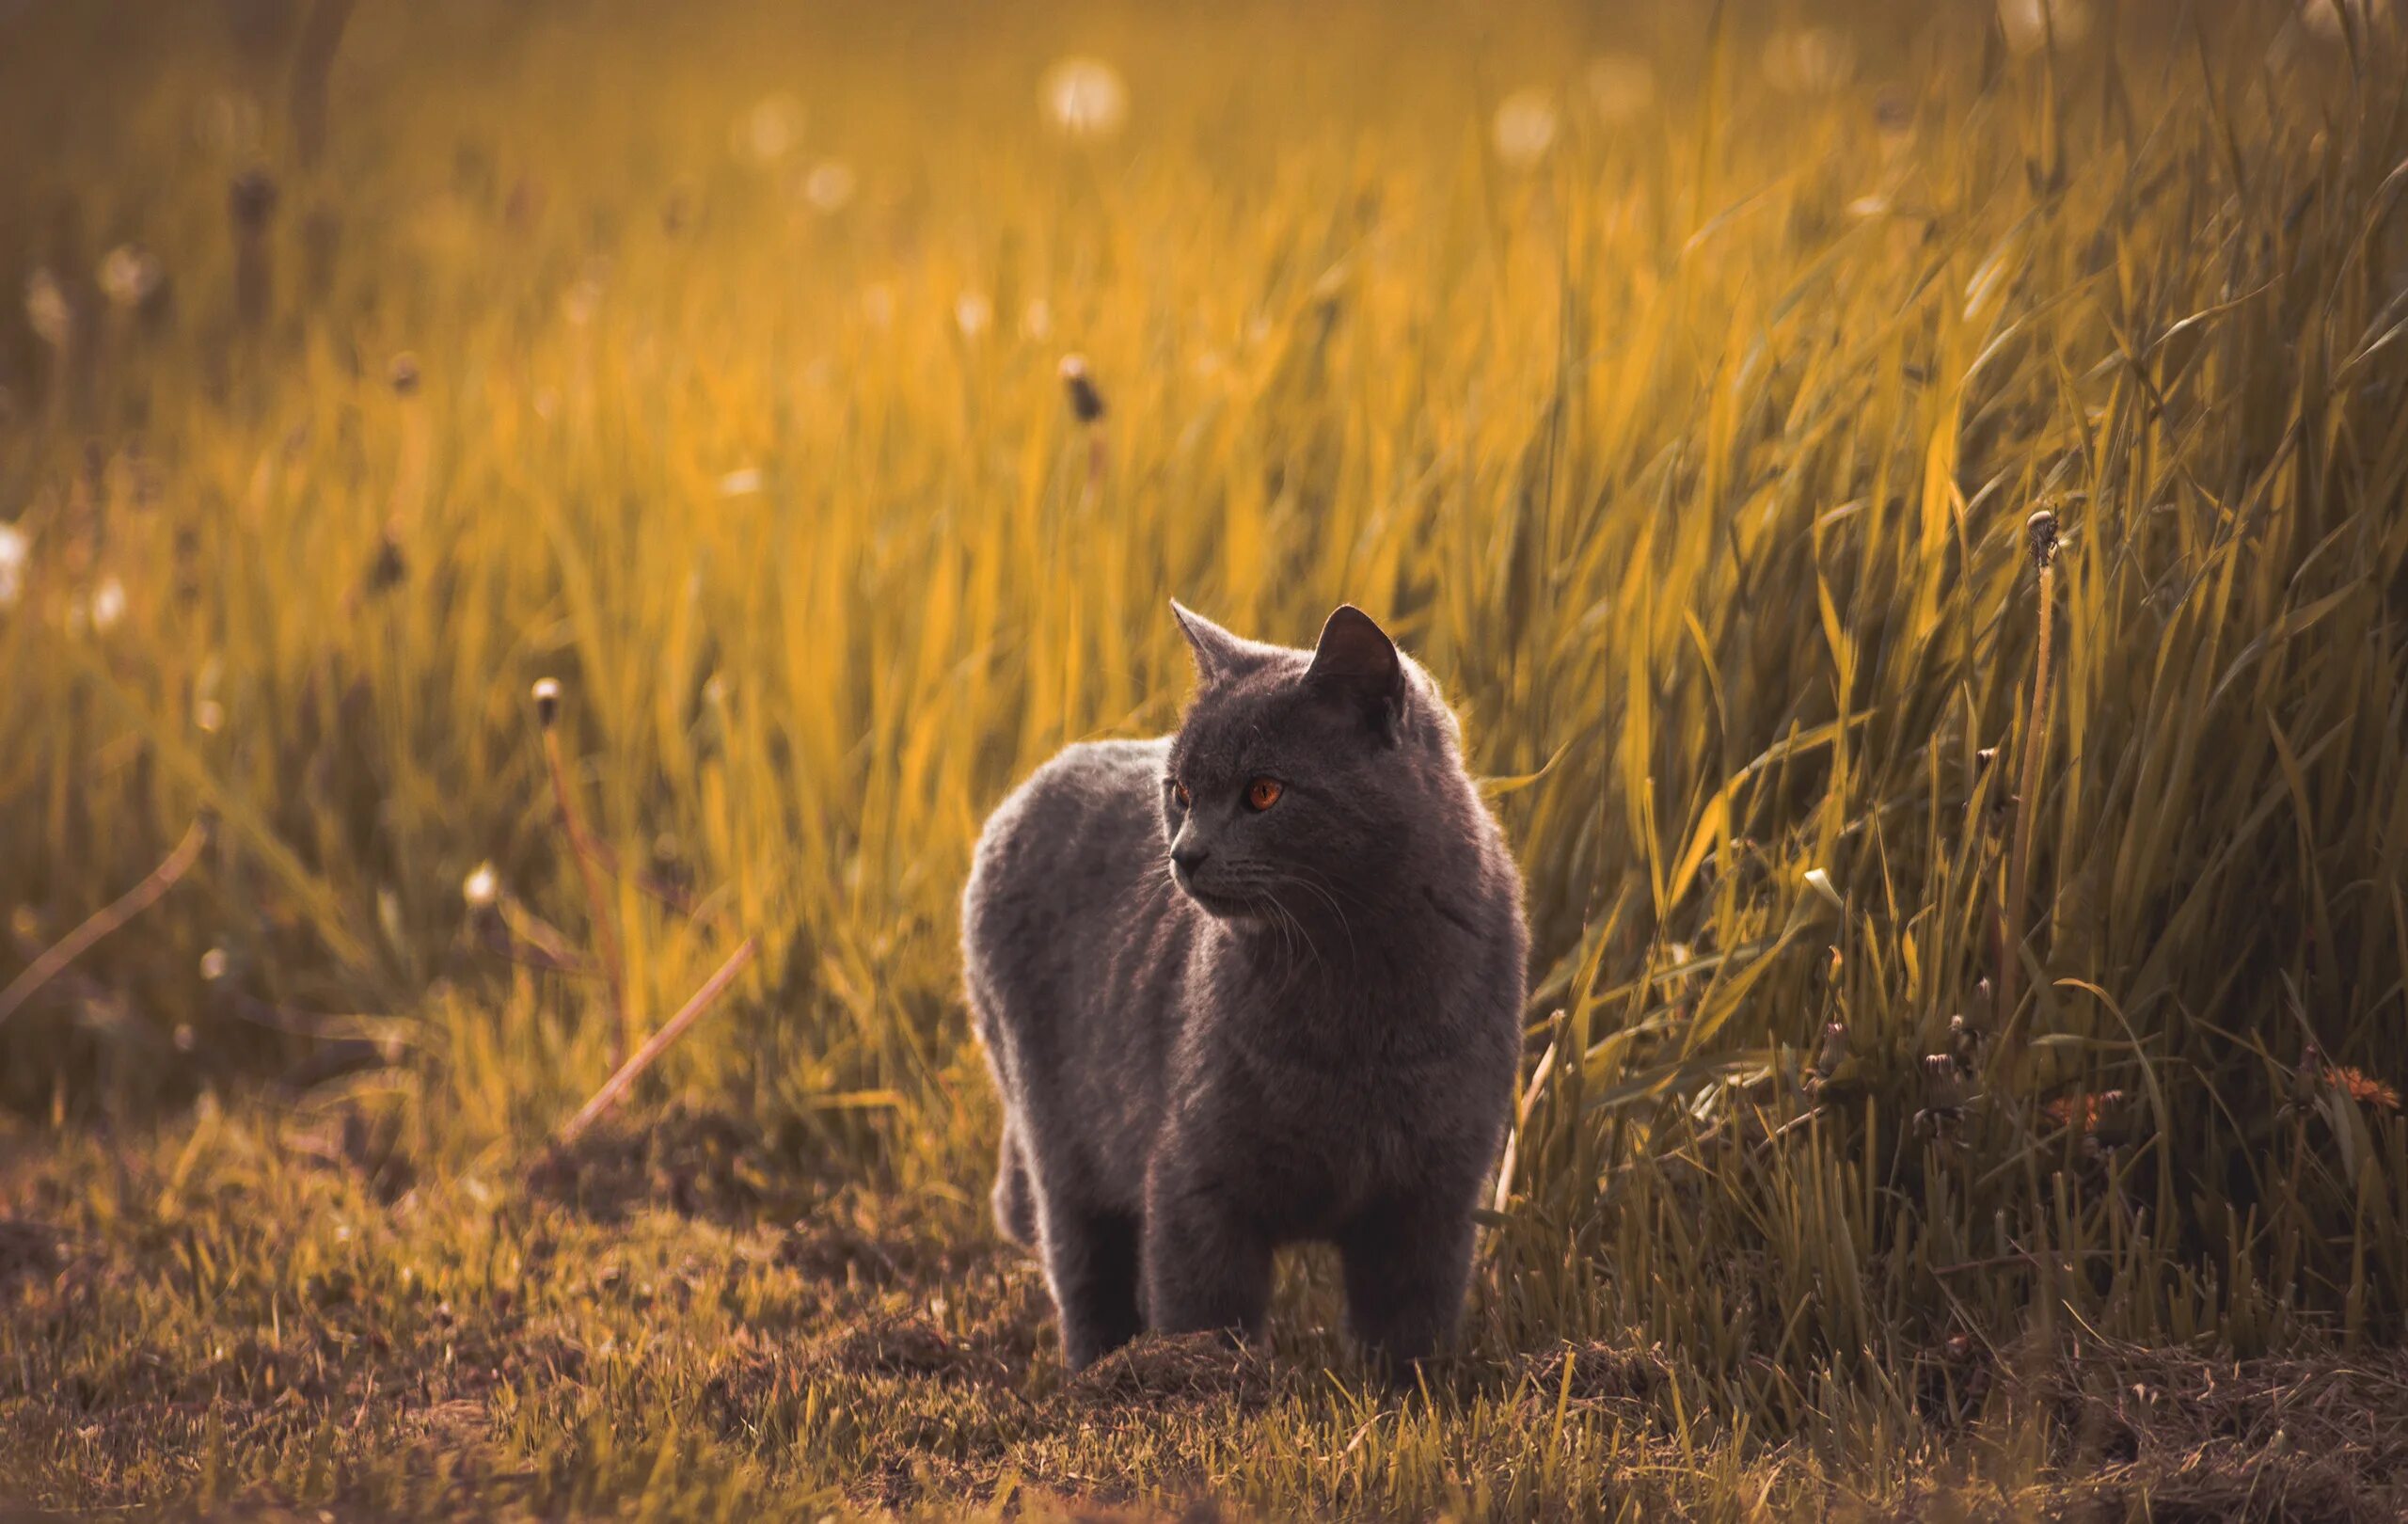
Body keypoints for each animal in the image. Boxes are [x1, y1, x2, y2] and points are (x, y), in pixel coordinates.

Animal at [953, 599, 1521, 1376]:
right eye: (1181, 793)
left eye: (1263, 791)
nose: (1183, 853)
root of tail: (1033, 783)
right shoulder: (1195, 1181)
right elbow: (1205, 1313)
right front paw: (1203, 1386)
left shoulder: (1434, 1192)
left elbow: (1410, 1321)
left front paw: (1410, 1390)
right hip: (1059, 1136)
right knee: (1082, 1265)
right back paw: (1097, 1375)